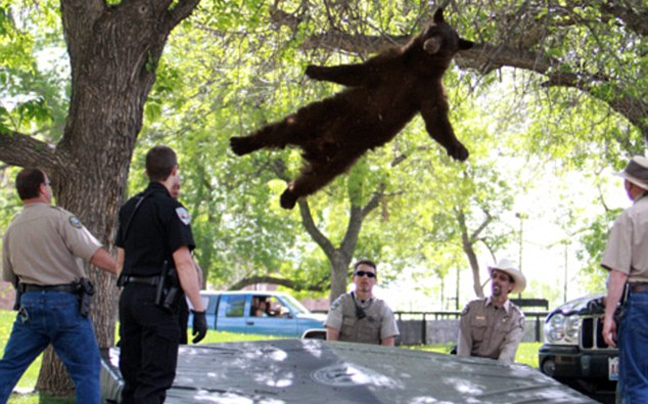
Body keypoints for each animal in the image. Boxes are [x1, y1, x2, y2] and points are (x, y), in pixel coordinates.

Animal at [230, 7, 474, 210]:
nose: (431, 44)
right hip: (322, 114)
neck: (418, 67)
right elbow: (356, 72)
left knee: (315, 178)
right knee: (282, 129)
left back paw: (289, 196)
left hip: (344, 156)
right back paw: (242, 143)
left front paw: (458, 149)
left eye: (446, 42)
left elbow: (436, 120)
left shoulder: (428, 89)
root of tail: (316, 144)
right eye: (434, 30)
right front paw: (315, 69)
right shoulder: (391, 64)